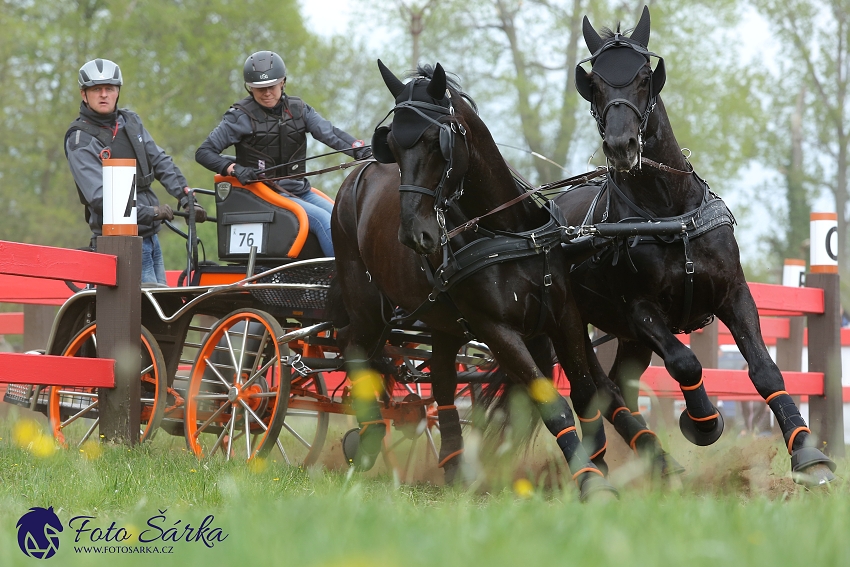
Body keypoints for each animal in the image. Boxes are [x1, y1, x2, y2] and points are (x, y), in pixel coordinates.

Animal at [324, 60, 676, 500]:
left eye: (435, 140)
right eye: (393, 143)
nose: (414, 235)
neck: (506, 232)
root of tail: (357, 177)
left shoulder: (562, 316)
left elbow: (586, 392)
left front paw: (611, 465)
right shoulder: (496, 330)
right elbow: (552, 403)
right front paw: (590, 480)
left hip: (443, 322)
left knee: (441, 377)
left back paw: (453, 463)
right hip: (369, 305)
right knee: (353, 348)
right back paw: (368, 438)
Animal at [556, 5, 836, 484]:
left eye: (643, 78)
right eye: (594, 84)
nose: (621, 146)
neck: (669, 212)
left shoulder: (734, 293)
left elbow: (765, 370)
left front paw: (806, 451)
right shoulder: (640, 309)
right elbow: (685, 362)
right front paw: (703, 422)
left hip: (626, 337)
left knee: (617, 386)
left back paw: (652, 460)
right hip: (571, 323)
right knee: (594, 389)